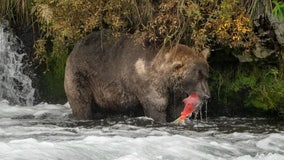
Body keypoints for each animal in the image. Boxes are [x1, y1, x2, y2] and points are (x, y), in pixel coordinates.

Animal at [65, 31, 211, 122]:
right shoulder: (150, 84)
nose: (207, 95)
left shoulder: (174, 90)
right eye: (197, 75)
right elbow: (157, 107)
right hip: (81, 74)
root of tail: (74, 48)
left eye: (206, 75)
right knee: (81, 101)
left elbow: (176, 108)